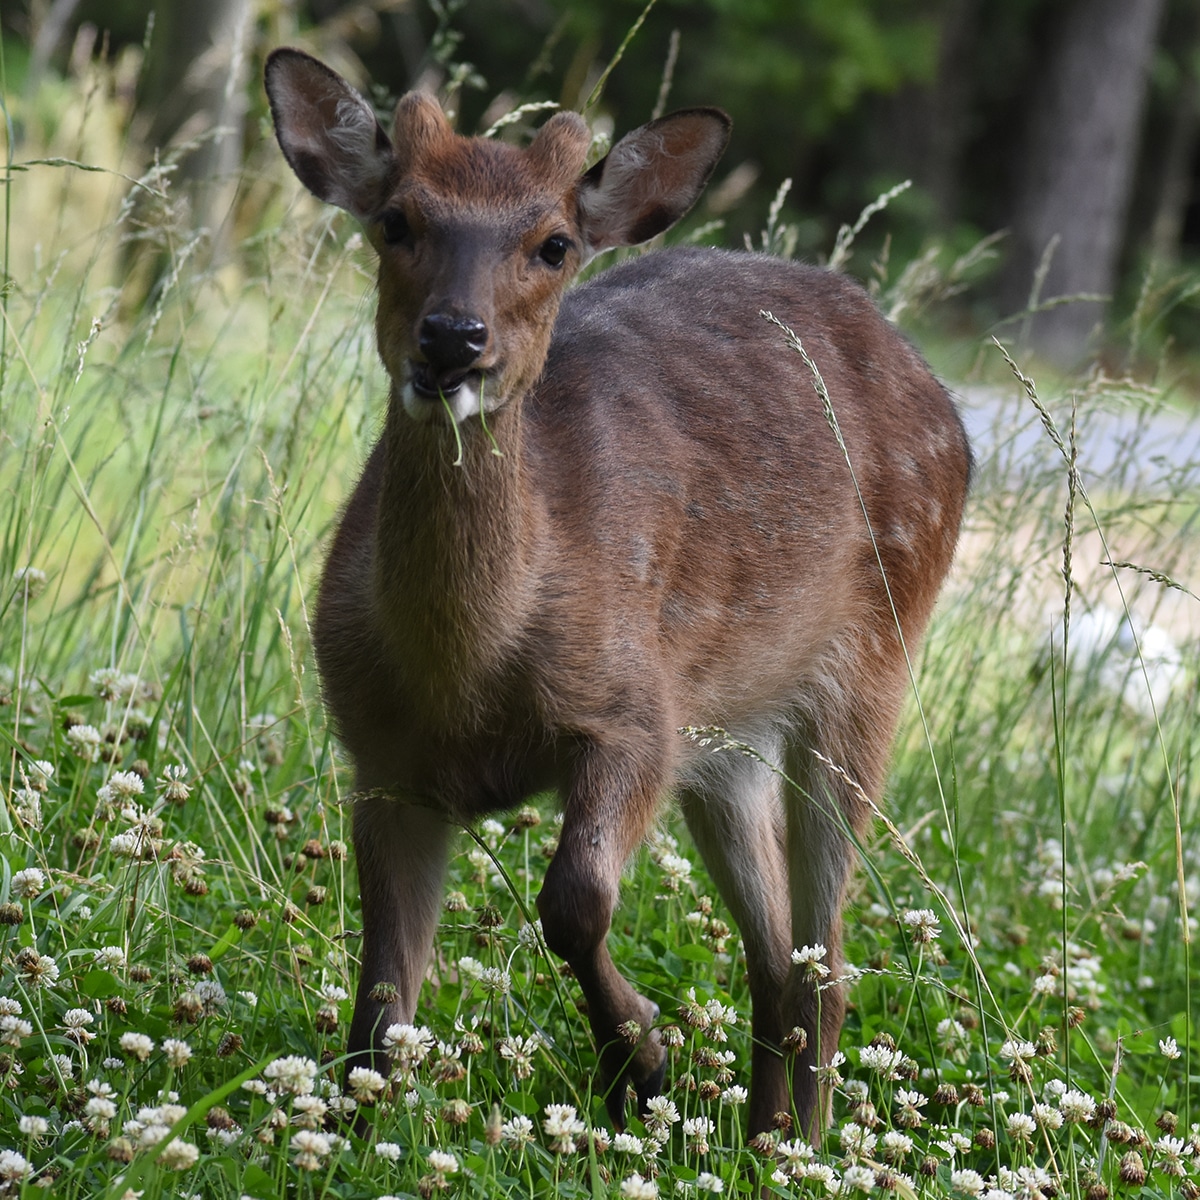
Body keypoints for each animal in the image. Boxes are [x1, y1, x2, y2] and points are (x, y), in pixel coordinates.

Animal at [265, 46, 974, 1132]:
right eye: (396, 220)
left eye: (554, 244)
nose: (452, 338)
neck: (470, 671)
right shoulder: (380, 758)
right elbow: (382, 1000)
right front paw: (360, 1117)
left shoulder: (635, 709)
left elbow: (575, 901)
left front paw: (640, 1058)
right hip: (727, 737)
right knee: (777, 954)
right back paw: (764, 1136)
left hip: (873, 662)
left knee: (826, 960)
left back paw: (798, 1139)